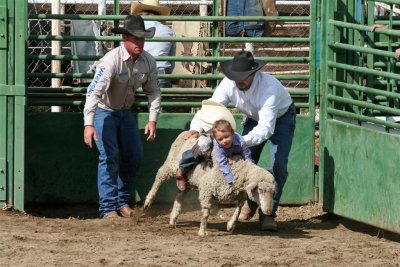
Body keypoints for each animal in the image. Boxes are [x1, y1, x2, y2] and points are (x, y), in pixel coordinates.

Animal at [144, 132, 278, 237]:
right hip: (170, 166)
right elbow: (206, 212)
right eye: (260, 190)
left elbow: (238, 209)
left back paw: (173, 219)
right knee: (159, 177)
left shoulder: (240, 195)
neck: (237, 169)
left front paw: (230, 225)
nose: (268, 210)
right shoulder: (206, 190)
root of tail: (184, 133)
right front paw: (202, 231)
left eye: (273, 192)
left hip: (187, 180)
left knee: (180, 196)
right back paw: (148, 201)